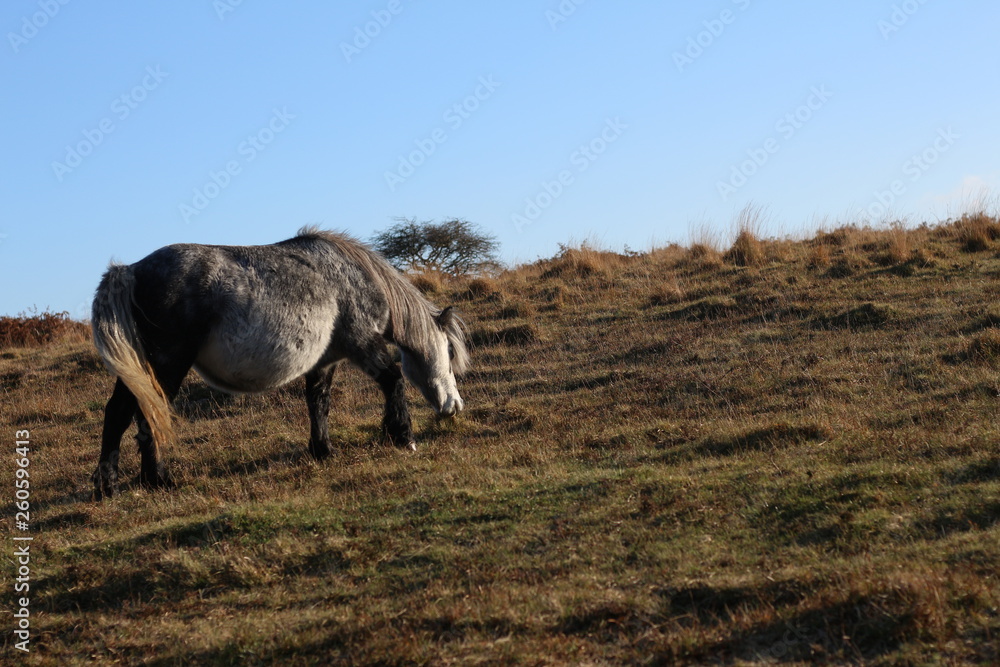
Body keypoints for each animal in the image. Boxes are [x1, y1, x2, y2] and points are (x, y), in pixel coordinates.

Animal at [90, 227, 468, 500]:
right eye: (450, 354)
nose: (455, 406)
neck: (357, 278)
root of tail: (130, 272)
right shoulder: (363, 344)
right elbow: (393, 381)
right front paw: (402, 436)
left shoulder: (325, 360)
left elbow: (318, 402)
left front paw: (323, 450)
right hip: (167, 365)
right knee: (140, 415)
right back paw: (151, 480)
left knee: (121, 413)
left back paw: (115, 485)